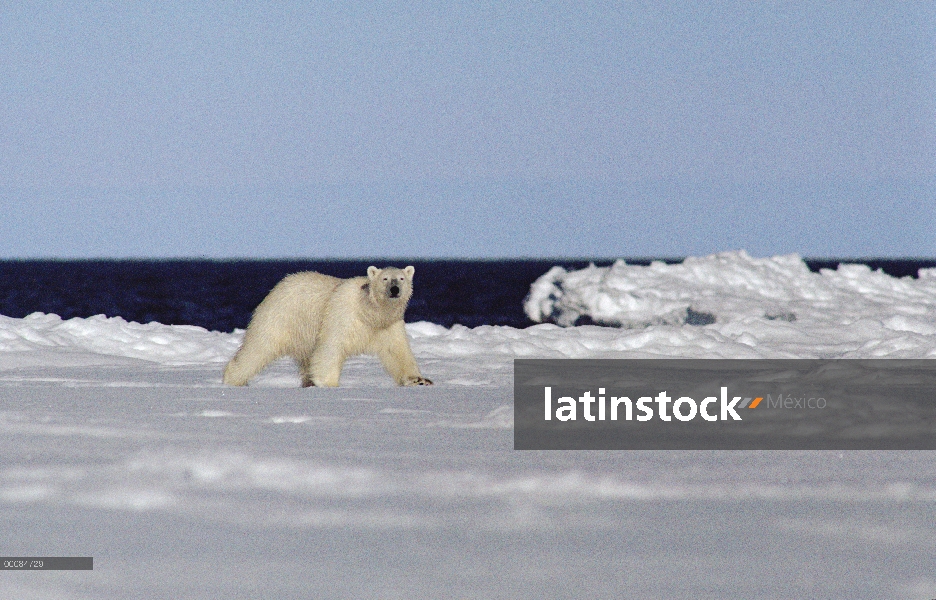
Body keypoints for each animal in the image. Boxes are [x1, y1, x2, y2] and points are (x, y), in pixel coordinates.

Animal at [225, 264, 434, 386]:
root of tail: (279, 285)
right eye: (385, 278)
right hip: (283, 317)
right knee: (258, 348)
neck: (369, 312)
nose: (394, 289)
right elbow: (331, 347)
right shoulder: (342, 315)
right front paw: (328, 384)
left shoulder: (388, 326)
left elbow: (397, 351)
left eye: (401, 278)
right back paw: (233, 379)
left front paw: (418, 380)